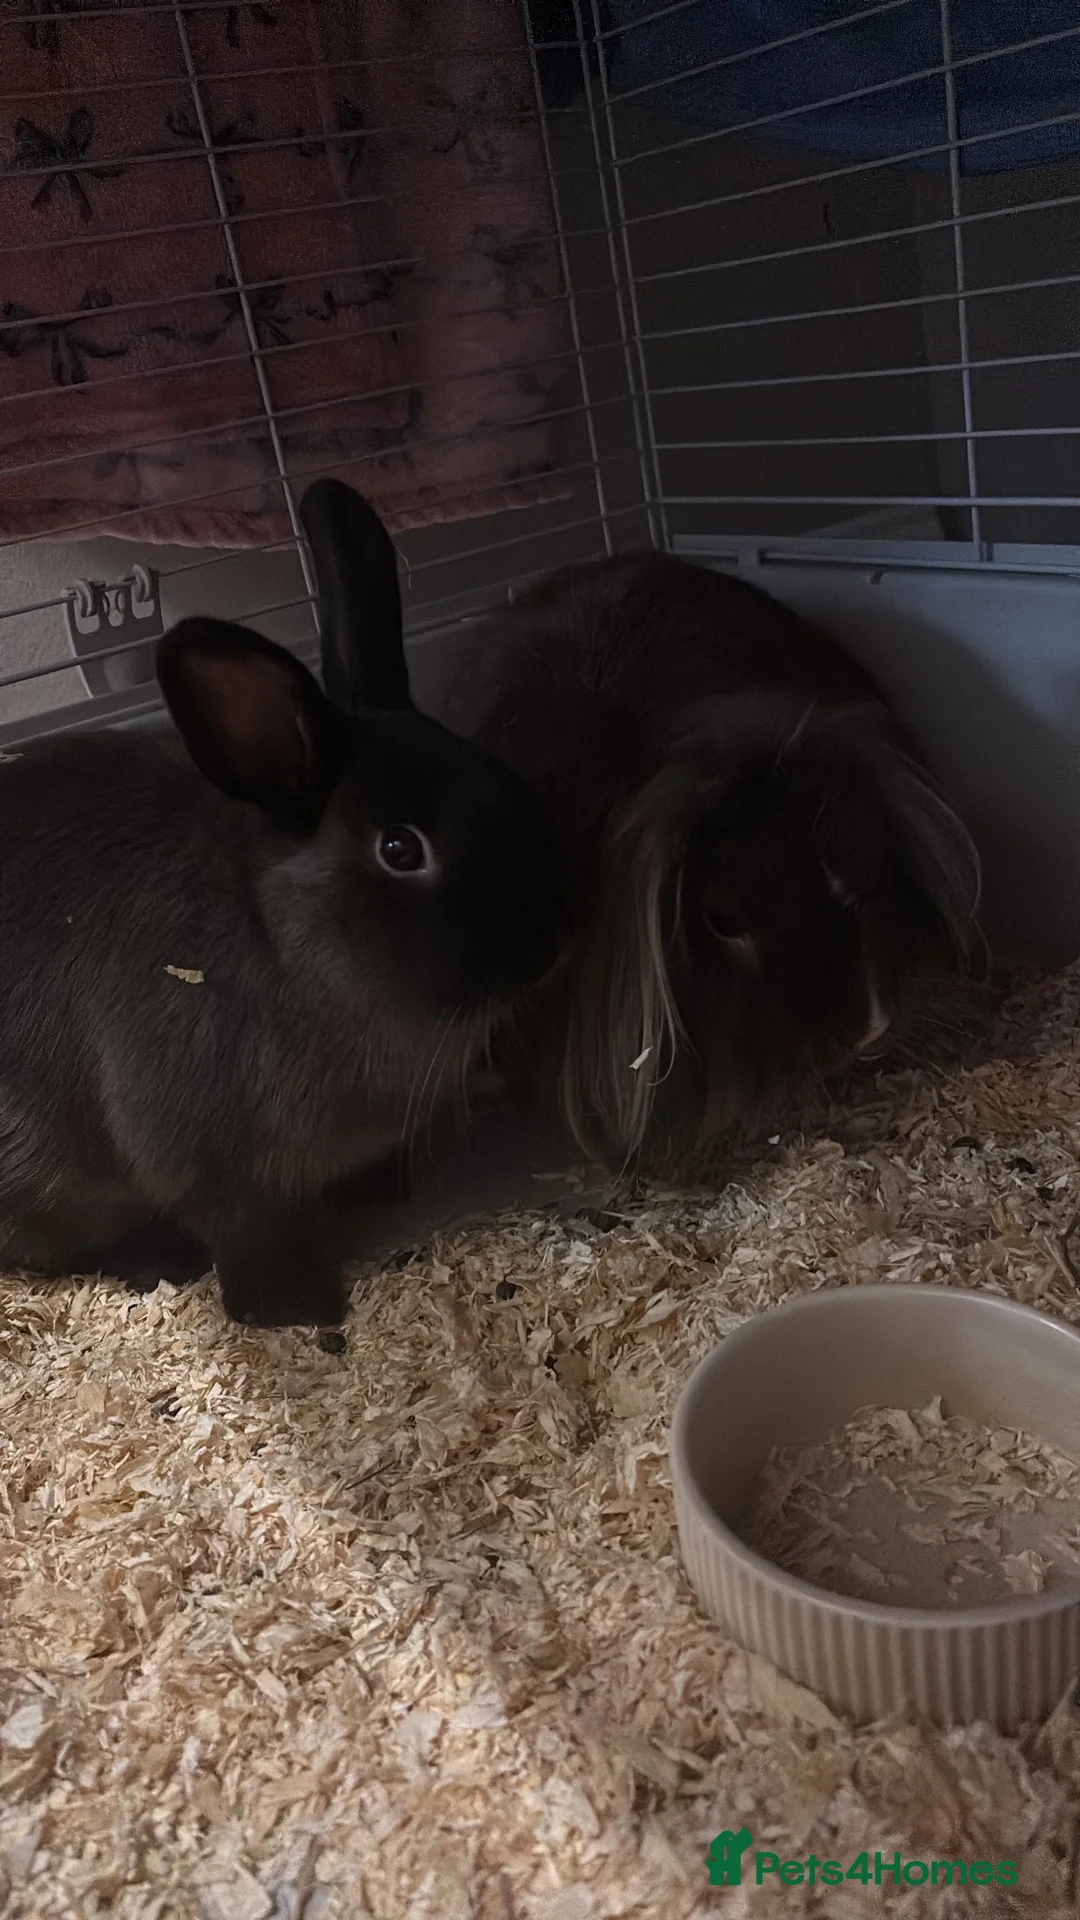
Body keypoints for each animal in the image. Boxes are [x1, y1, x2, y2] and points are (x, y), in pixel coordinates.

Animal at [0, 478, 564, 1326]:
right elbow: (253, 1255)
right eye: (401, 850)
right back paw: (156, 1259)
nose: (553, 939)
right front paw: (304, 1314)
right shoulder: (227, 1176)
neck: (287, 948)